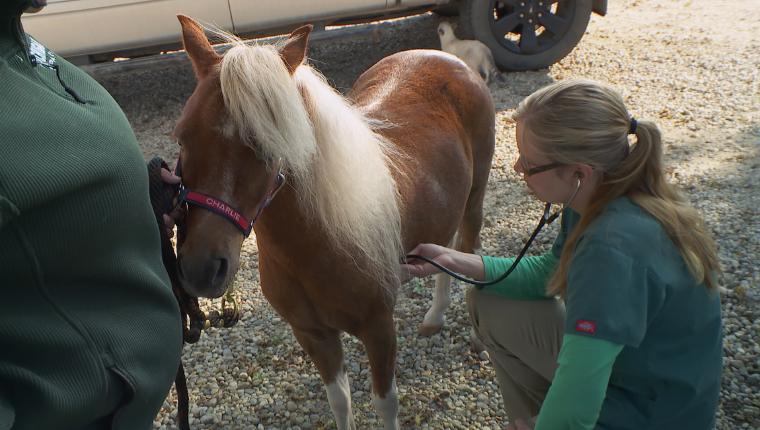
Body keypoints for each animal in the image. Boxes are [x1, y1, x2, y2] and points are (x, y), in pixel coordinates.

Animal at [171, 15, 492, 428]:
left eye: (266, 146)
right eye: (182, 137)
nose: (201, 269)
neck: (315, 246)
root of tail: (449, 58)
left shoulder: (378, 329)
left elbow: (385, 402)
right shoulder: (313, 334)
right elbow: (339, 401)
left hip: (475, 200)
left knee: (470, 250)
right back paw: (434, 317)